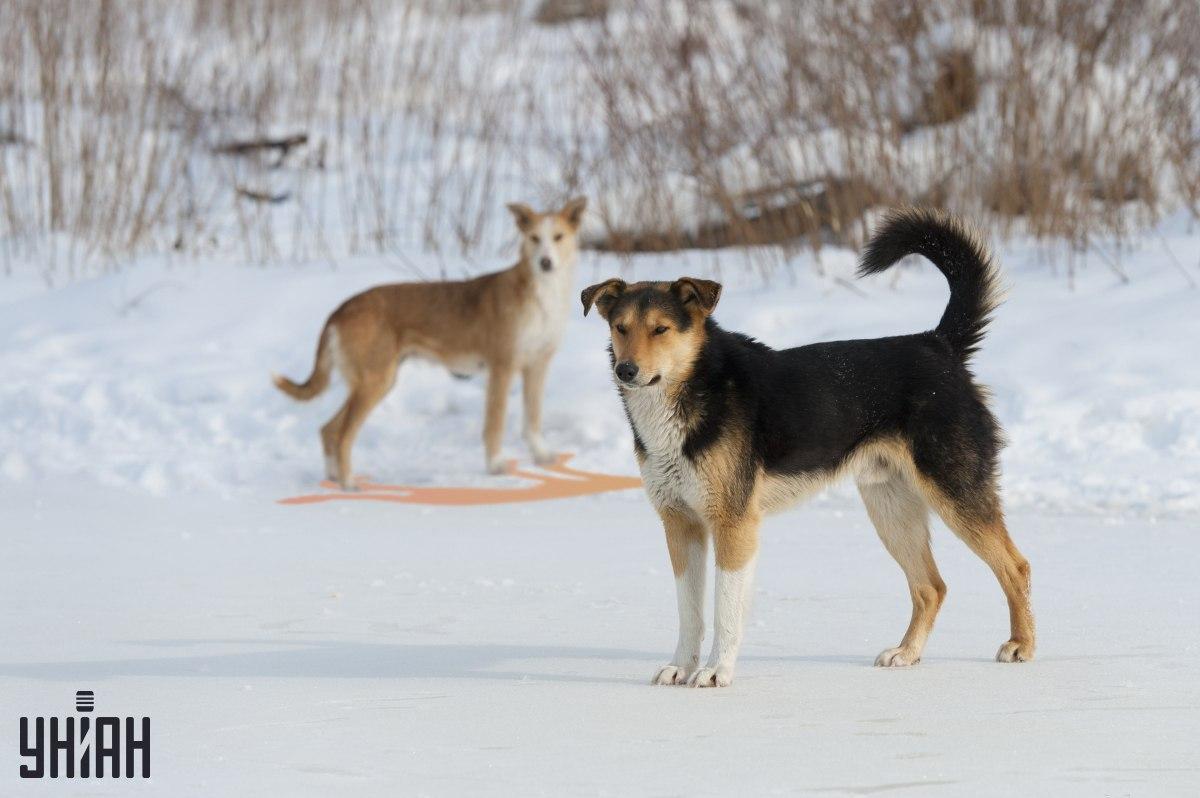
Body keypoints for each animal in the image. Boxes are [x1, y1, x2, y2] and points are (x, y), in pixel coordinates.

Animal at [276, 199, 585, 484]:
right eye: (534, 238)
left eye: (558, 237)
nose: (545, 263)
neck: (541, 296)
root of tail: (340, 309)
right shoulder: (502, 367)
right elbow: (495, 423)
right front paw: (496, 465)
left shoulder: (538, 365)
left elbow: (533, 419)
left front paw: (540, 455)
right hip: (374, 382)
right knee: (342, 435)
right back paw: (349, 483)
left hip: (376, 382)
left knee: (328, 429)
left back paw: (333, 481)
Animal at [580, 206, 1032, 686]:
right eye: (620, 328)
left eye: (661, 330)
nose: (626, 370)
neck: (694, 390)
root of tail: (937, 343)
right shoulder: (680, 523)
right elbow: (690, 613)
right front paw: (681, 667)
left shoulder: (733, 523)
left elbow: (725, 612)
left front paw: (717, 670)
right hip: (891, 508)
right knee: (931, 586)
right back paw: (907, 653)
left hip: (955, 493)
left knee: (1015, 567)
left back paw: (1022, 645)